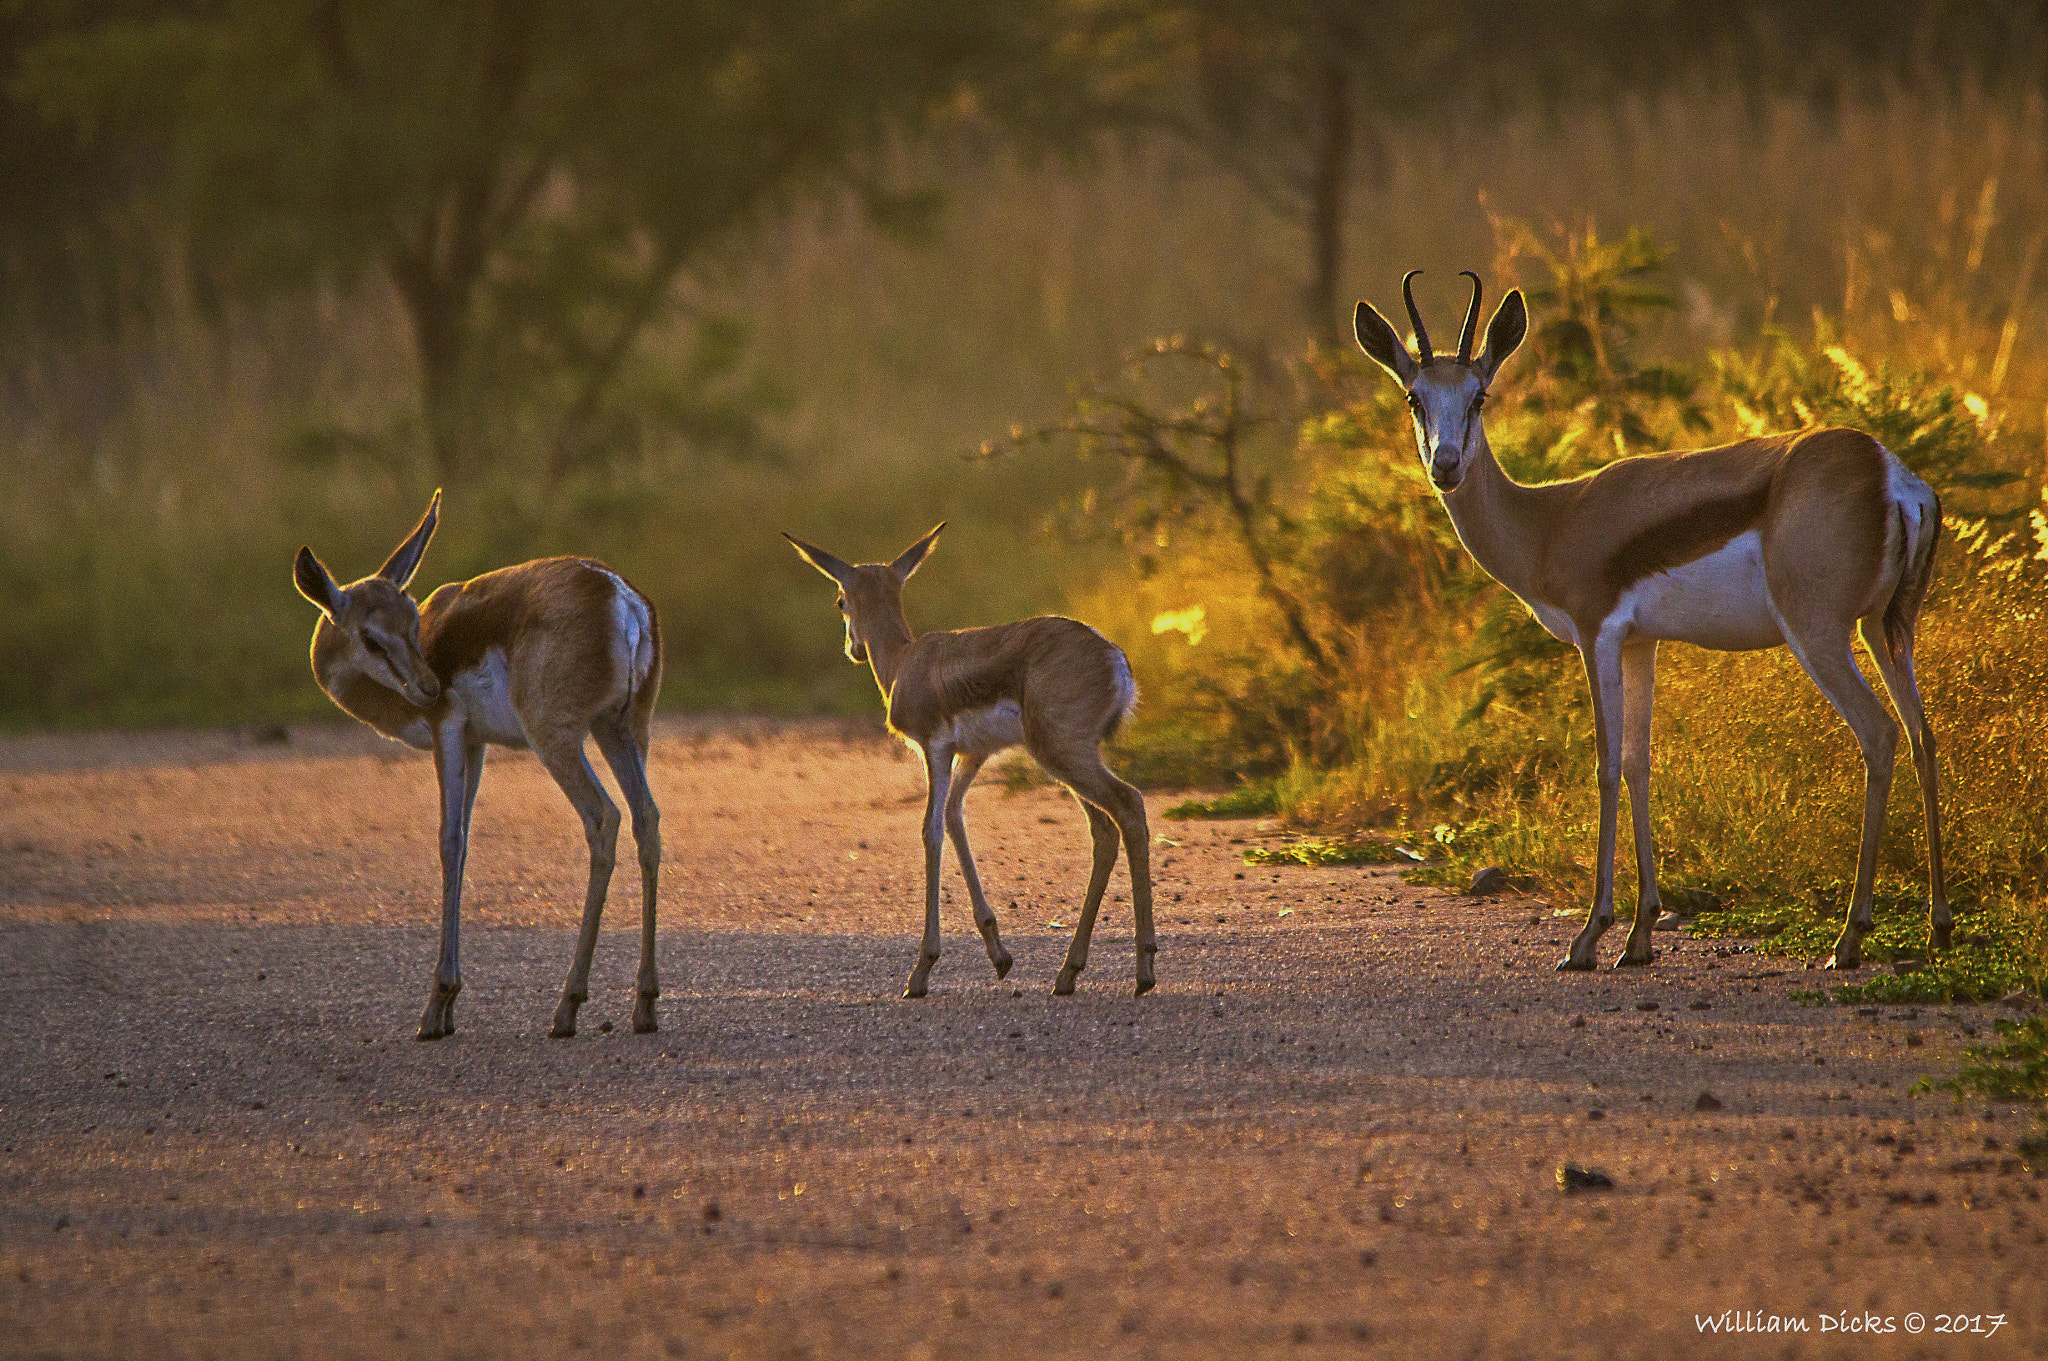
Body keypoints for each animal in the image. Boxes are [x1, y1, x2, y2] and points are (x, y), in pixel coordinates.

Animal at [292, 493, 659, 1035]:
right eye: (373, 637)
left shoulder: (447, 729)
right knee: (646, 820)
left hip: (558, 739)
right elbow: (464, 842)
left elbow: (449, 841)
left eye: (412, 623)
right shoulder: (477, 744)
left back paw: (567, 1006)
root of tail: (620, 598)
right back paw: (645, 1005)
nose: (429, 687)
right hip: (621, 731)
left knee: (603, 818)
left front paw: (436, 1006)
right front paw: (447, 1007)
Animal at [790, 523, 1163, 994]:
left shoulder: (934, 748)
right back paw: (1068, 973)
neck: (905, 662)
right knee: (1104, 830)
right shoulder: (972, 755)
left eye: (840, 600)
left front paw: (922, 970)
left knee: (1128, 806)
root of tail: (1114, 656)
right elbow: (954, 817)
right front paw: (999, 955)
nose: (853, 649)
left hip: (1063, 754)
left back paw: (1143, 969)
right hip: (1069, 759)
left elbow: (930, 829)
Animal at [1351, 270, 1941, 966]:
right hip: (1886, 630)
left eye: (1480, 396)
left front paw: (1588, 936)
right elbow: (1639, 762)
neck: (1550, 523)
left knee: (1880, 735)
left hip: (1819, 634)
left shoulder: (1596, 635)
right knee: (1925, 736)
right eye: (1413, 396)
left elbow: (1606, 765)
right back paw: (1938, 926)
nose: (1445, 465)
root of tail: (1887, 473)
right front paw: (1639, 935)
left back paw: (1849, 938)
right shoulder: (1642, 645)